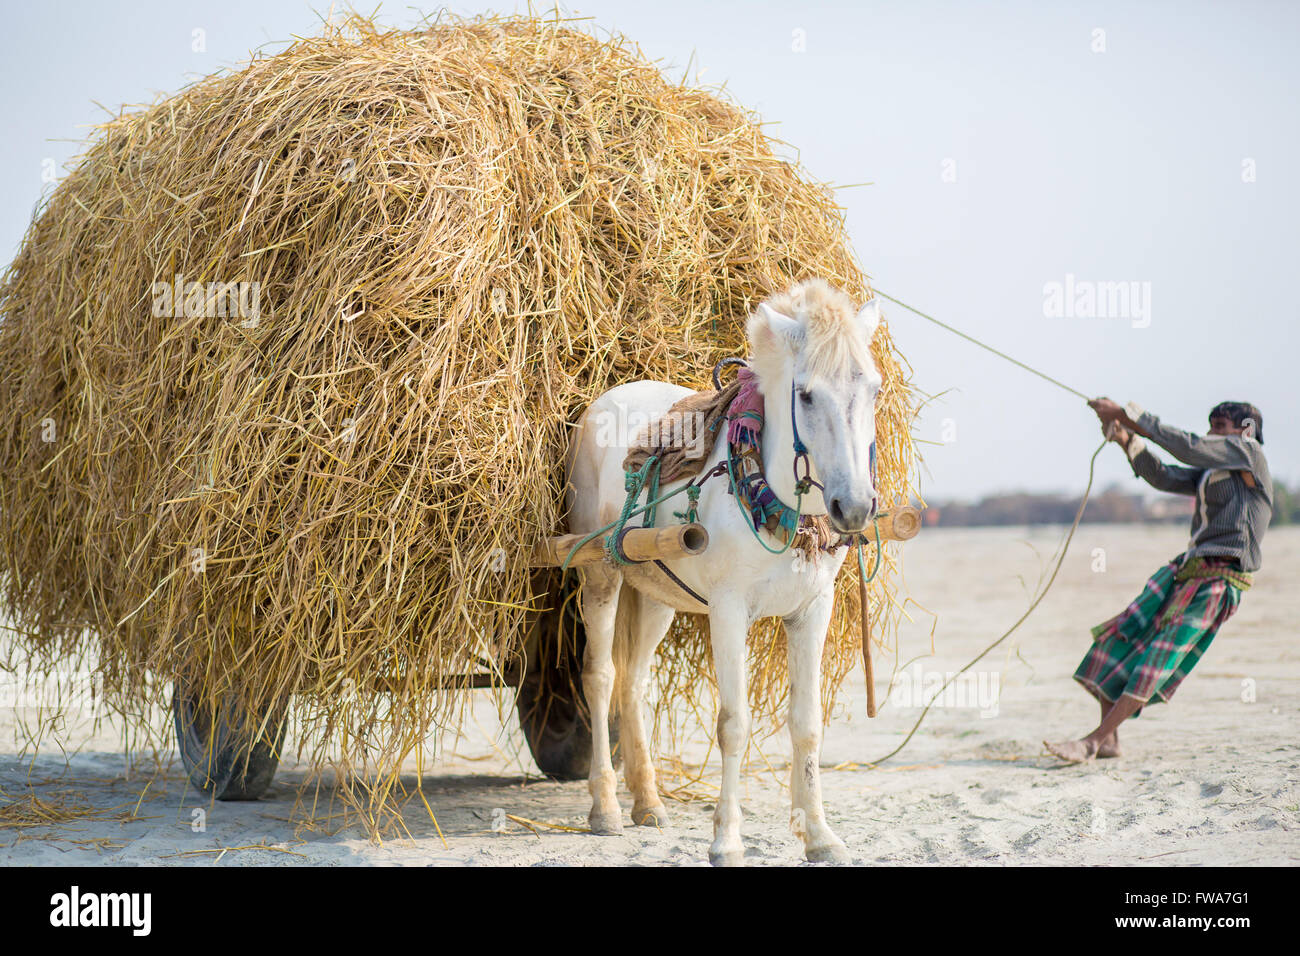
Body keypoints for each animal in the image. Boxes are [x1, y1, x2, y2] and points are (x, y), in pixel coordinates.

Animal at [563, 278, 883, 865]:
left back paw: (648, 802)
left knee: (633, 684)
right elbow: (733, 725)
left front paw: (819, 836)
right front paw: (727, 840)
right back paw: (606, 809)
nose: (853, 508)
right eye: (806, 395)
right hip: (601, 576)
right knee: (600, 679)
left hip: (656, 595)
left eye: (872, 389)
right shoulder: (729, 612)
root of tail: (602, 401)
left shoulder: (812, 609)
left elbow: (807, 726)